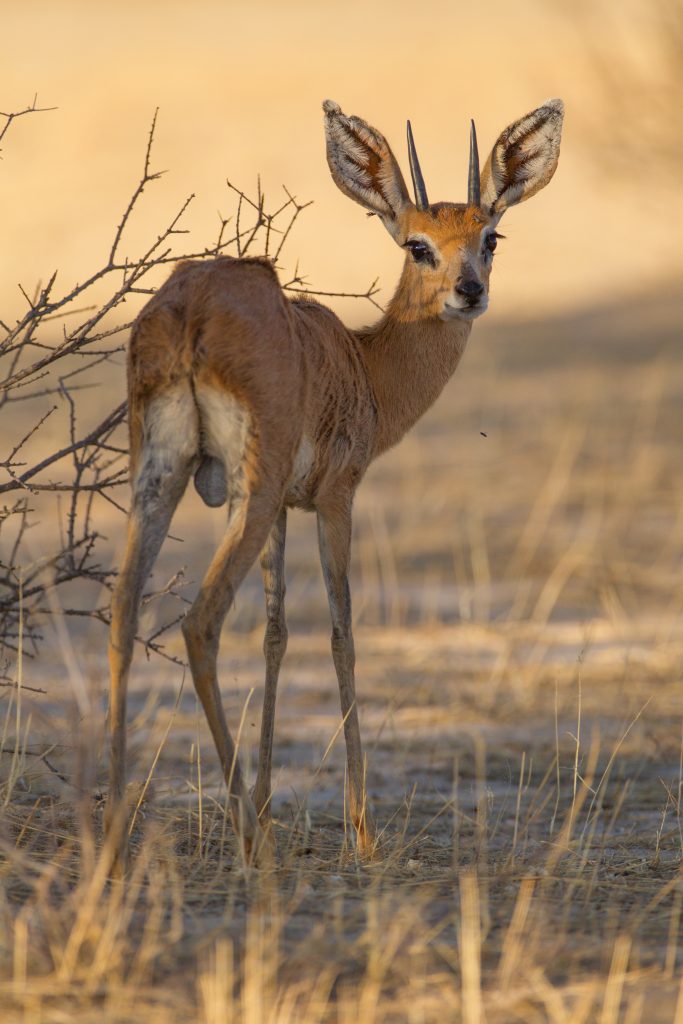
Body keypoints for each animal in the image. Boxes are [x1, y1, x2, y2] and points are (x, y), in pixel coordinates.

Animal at [106, 98, 564, 869]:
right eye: (417, 244)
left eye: (490, 235)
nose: (469, 292)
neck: (363, 363)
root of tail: (192, 307)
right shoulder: (334, 498)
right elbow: (343, 631)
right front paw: (361, 830)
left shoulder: (286, 510)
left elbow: (276, 632)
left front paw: (271, 803)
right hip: (248, 492)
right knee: (200, 622)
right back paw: (245, 839)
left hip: (163, 478)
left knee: (122, 608)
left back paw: (107, 827)